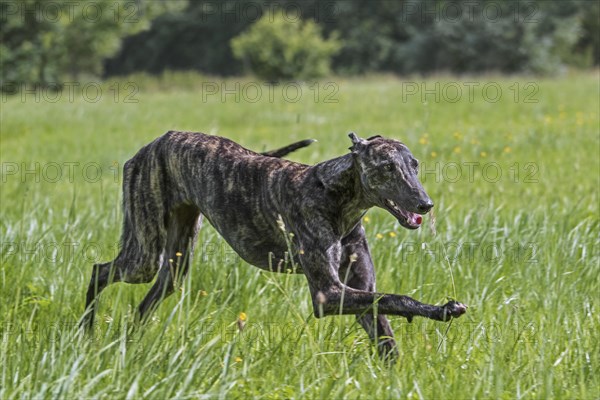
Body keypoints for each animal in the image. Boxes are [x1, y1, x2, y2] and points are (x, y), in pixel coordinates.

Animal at [79, 131, 466, 360]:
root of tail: (157, 141)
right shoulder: (328, 294)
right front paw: (444, 309)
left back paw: (129, 345)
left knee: (144, 304)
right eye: (387, 167)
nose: (425, 205)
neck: (335, 195)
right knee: (100, 271)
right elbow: (395, 298)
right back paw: (87, 332)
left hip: (175, 263)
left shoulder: (360, 290)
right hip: (144, 255)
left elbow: (384, 325)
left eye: (414, 165)